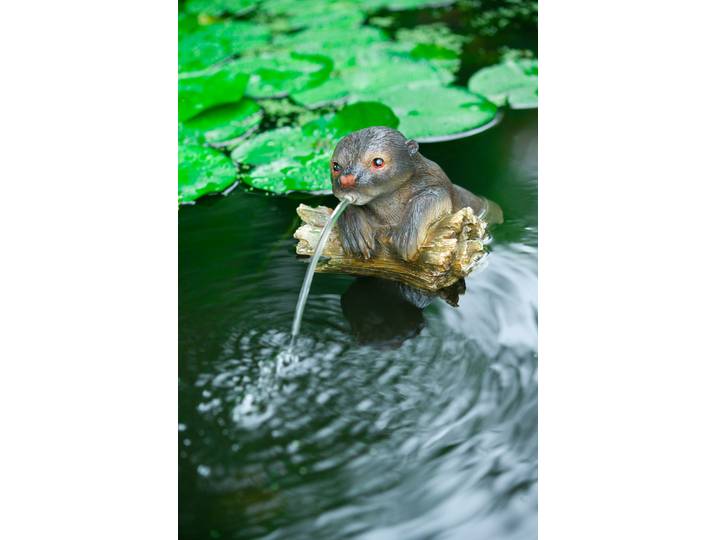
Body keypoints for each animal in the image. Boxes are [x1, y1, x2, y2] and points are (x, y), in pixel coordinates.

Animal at [331, 126, 503, 261]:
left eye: (378, 162)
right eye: (336, 166)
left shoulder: (437, 183)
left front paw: (407, 234)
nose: (346, 180)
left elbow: (431, 196)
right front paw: (353, 228)